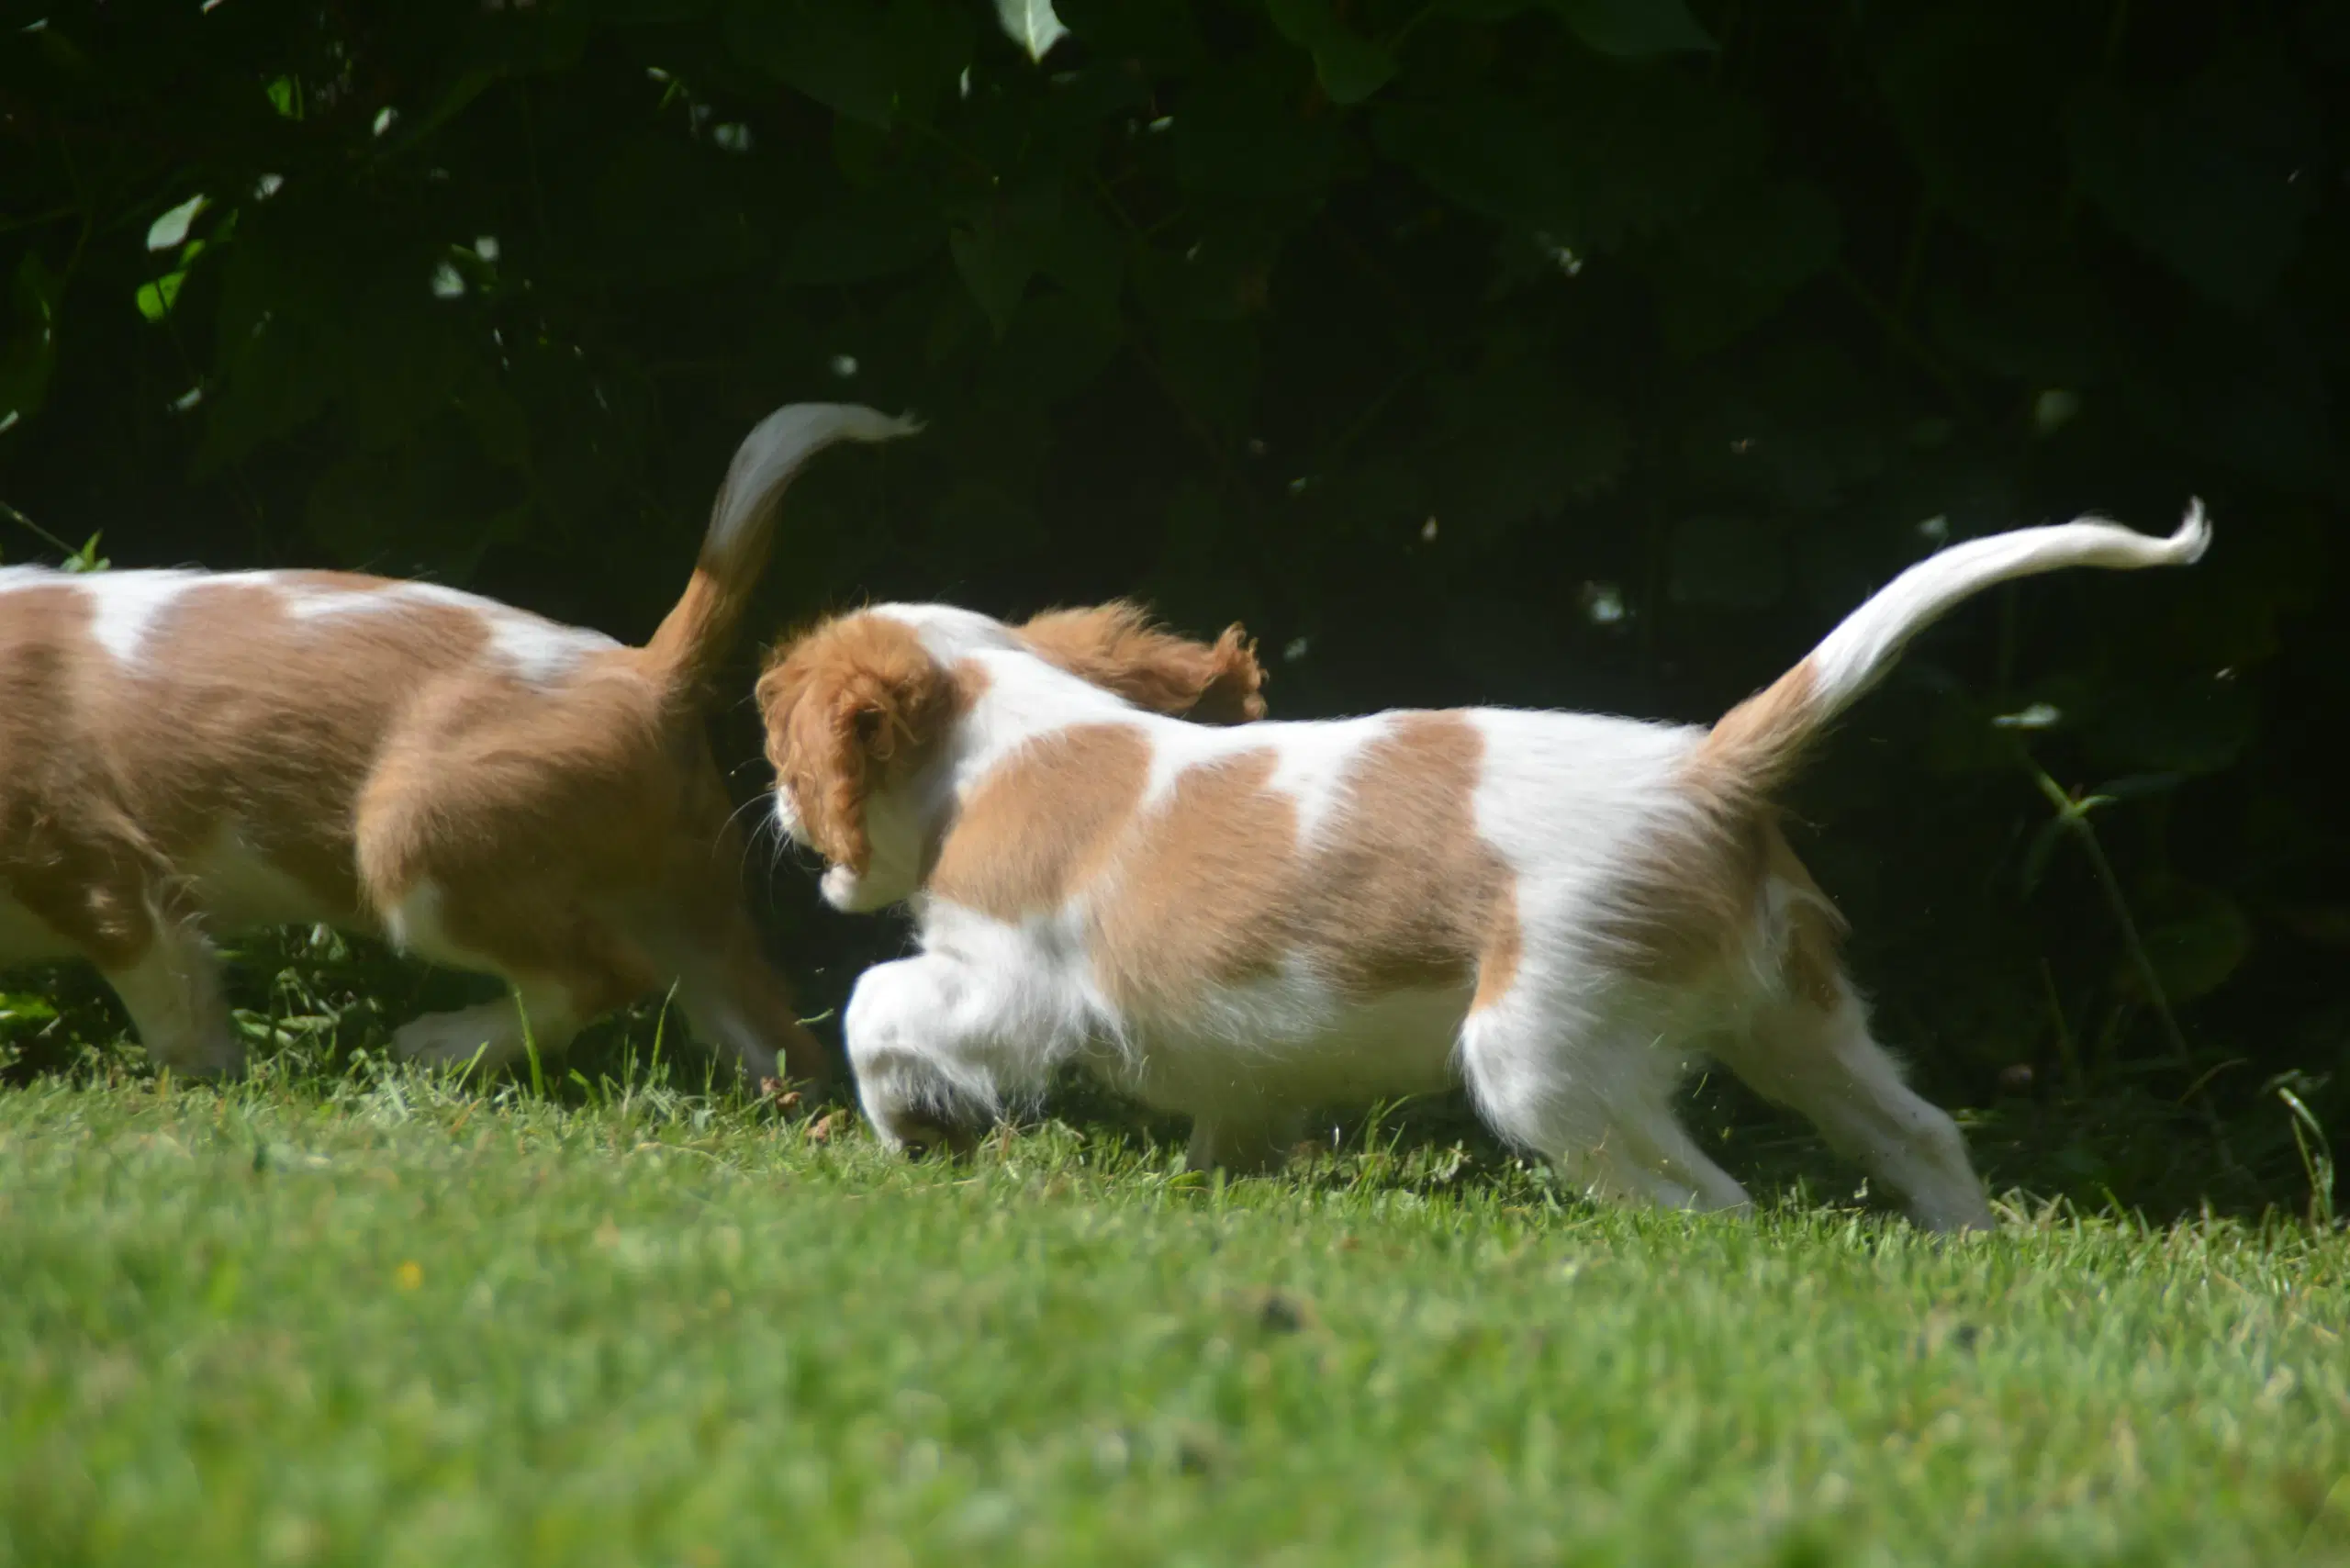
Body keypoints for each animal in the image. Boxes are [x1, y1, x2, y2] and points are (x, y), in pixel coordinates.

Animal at [0, 401, 1269, 1081]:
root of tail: (640, 668)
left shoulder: (97, 871)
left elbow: (174, 1006)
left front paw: (208, 1089)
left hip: (417, 848)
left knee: (593, 978)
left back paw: (440, 1045)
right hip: (688, 894)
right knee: (770, 1034)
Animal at [761, 510, 2209, 1231]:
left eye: (775, 732)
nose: (775, 809)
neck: (1014, 729)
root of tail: (1706, 769)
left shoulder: (1010, 981)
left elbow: (878, 1004)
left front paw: (913, 1128)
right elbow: (1238, 1113)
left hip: (1542, 1050)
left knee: (1713, 1202)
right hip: (1796, 1015)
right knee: (1916, 1129)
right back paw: (1967, 1248)